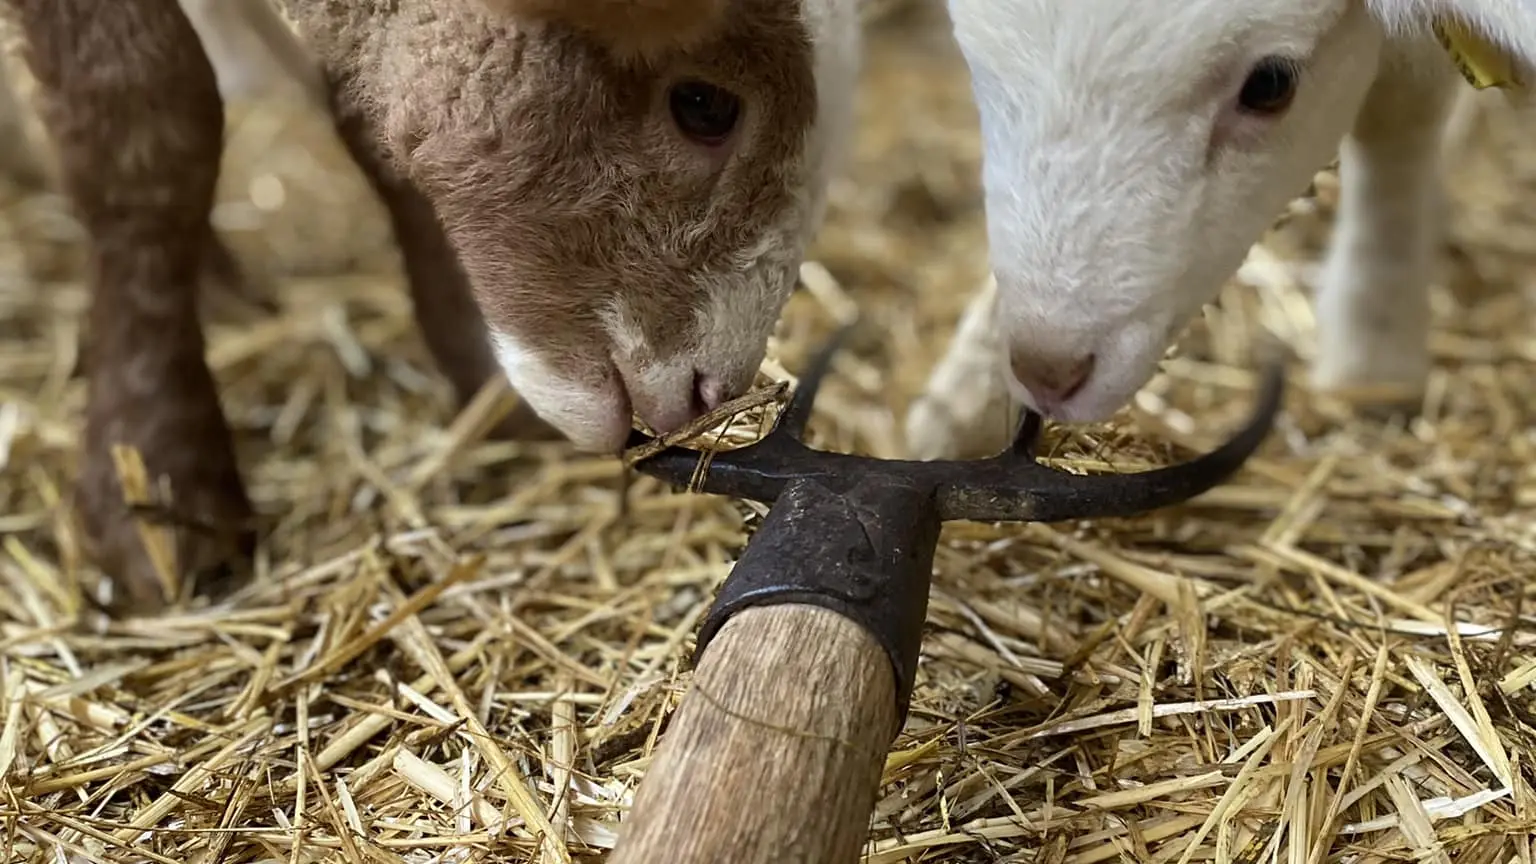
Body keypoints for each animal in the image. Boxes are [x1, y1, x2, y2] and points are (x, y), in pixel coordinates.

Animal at [903, 0, 1536, 458]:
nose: (1049, 373)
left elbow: (1402, 110)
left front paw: (1374, 353)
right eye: (974, 63)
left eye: (1270, 85)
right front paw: (962, 407)